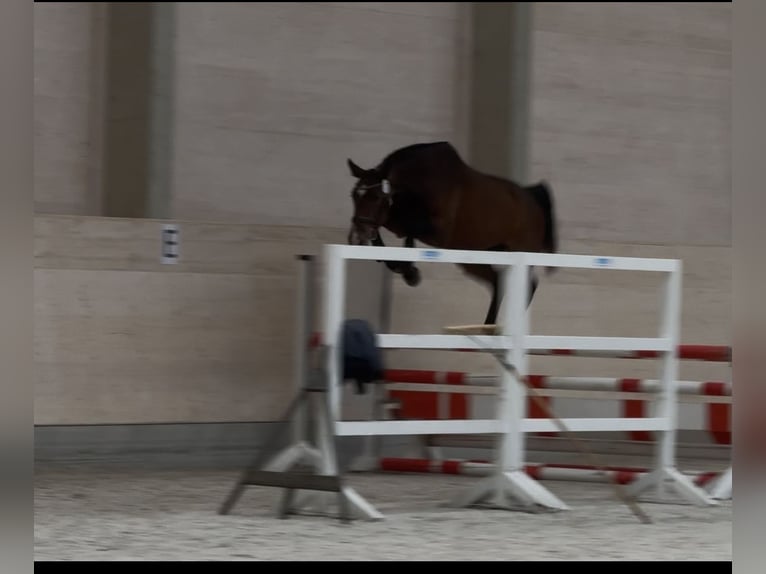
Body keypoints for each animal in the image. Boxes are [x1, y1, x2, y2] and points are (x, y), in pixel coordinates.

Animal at [345, 141, 558, 325]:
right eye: (354, 195)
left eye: (375, 197)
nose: (356, 237)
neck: (421, 180)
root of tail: (532, 199)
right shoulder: (395, 219)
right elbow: (388, 232)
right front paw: (399, 266)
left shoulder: (439, 233)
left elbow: (410, 231)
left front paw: (410, 273)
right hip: (473, 256)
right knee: (498, 281)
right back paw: (489, 326)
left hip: (518, 252)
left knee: (528, 285)